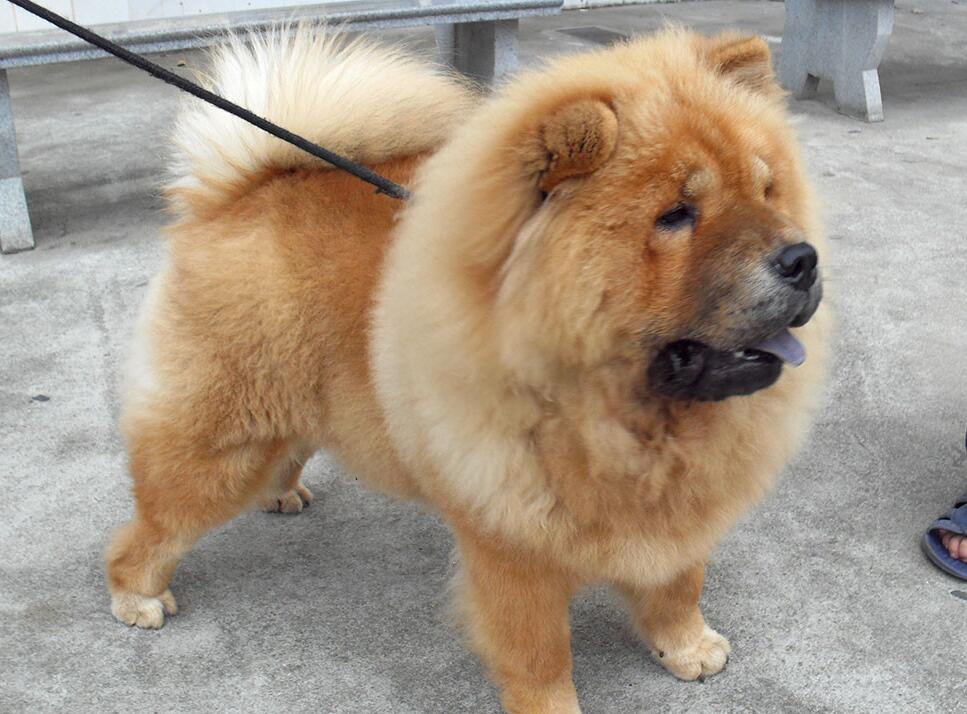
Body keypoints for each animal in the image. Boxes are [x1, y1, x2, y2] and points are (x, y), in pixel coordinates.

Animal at [106, 27, 829, 713]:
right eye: (675, 215)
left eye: (766, 190)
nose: (802, 258)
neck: (624, 422)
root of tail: (244, 189)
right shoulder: (513, 545)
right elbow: (539, 652)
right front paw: (553, 707)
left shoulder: (680, 508)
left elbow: (678, 584)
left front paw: (688, 648)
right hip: (217, 446)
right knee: (152, 528)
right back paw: (136, 597)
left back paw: (282, 493)